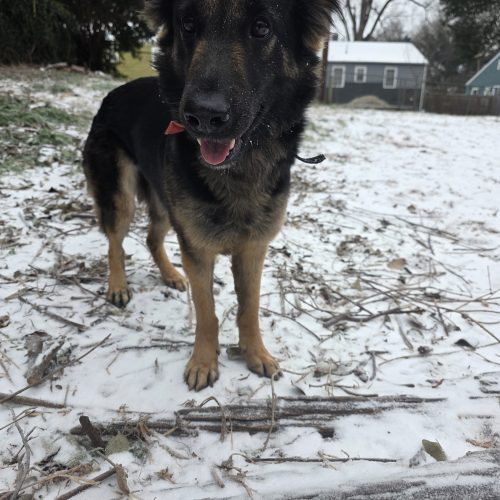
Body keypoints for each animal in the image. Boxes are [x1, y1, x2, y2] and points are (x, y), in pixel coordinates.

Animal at [83, 0, 340, 391]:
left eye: (262, 28)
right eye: (188, 25)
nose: (202, 116)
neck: (240, 170)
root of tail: (112, 93)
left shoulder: (253, 249)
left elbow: (249, 308)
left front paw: (256, 353)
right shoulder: (198, 248)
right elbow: (207, 311)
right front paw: (204, 362)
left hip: (165, 203)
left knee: (152, 237)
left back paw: (170, 274)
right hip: (121, 194)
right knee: (116, 241)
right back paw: (118, 285)